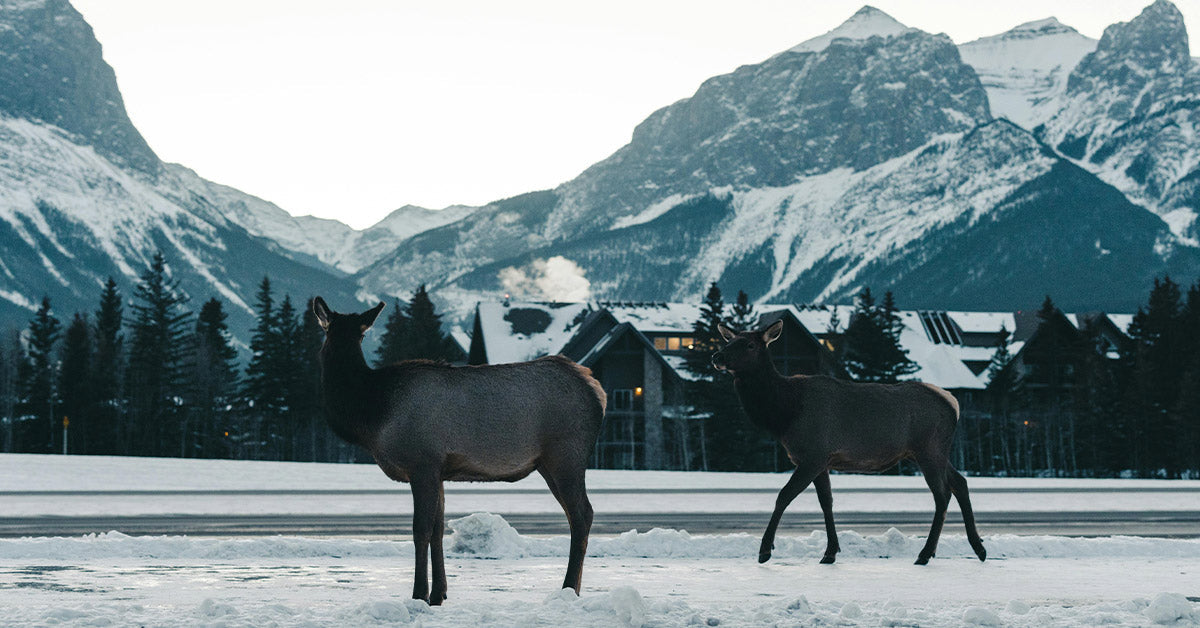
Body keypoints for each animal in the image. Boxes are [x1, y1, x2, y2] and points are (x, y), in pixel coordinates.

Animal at [311, 298, 605, 604]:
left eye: (353, 334)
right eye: (332, 332)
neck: (372, 414)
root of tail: (597, 389)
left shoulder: (422, 464)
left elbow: (421, 530)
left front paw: (419, 594)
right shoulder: (439, 471)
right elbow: (438, 531)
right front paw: (439, 593)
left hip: (566, 455)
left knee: (582, 514)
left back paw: (568, 588)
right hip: (548, 463)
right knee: (576, 516)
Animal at [712, 320, 986, 566]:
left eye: (749, 344)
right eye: (729, 341)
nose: (717, 356)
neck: (784, 414)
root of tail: (953, 402)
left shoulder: (813, 454)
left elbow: (784, 496)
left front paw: (765, 550)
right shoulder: (821, 461)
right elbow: (826, 502)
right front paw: (830, 552)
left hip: (929, 448)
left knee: (942, 494)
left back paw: (925, 553)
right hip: (930, 451)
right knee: (960, 482)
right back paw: (978, 548)